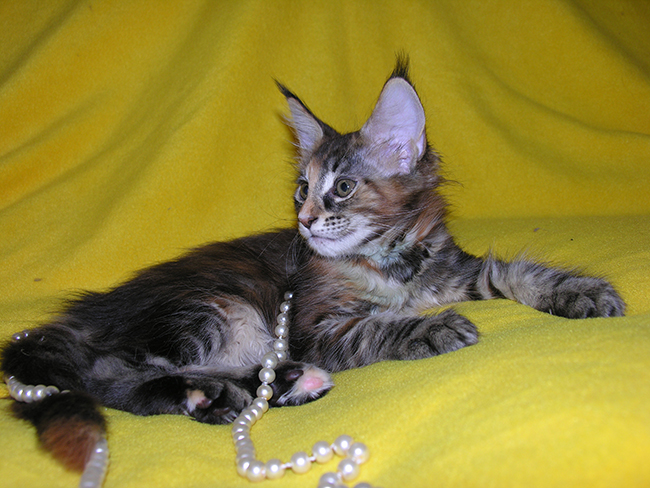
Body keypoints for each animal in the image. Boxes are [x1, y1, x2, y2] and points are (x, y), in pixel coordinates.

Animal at [2, 57, 624, 474]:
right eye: (301, 189)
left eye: (342, 188)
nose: (302, 221)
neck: (389, 263)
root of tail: (78, 319)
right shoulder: (312, 324)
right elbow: (377, 328)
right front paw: (431, 328)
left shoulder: (450, 269)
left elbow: (516, 270)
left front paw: (581, 292)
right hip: (215, 309)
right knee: (111, 377)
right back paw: (239, 390)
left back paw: (269, 389)